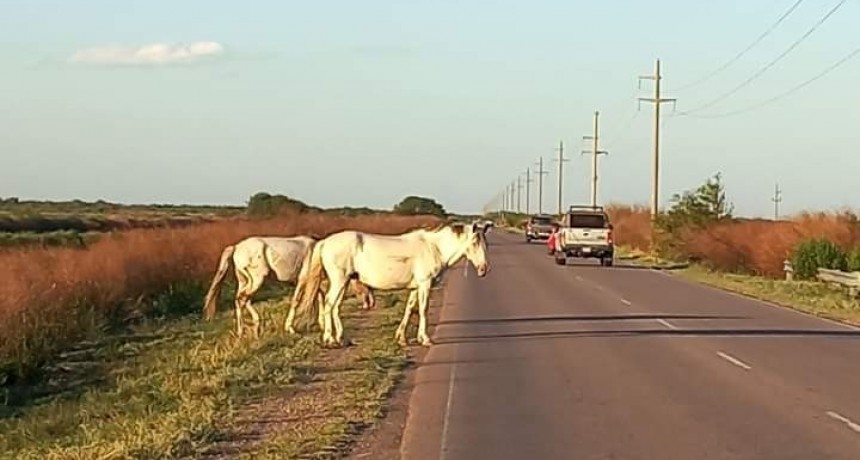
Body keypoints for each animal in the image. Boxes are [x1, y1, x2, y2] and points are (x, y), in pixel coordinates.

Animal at [205, 237, 376, 338]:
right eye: (364, 284)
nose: (370, 304)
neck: (318, 252)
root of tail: (236, 247)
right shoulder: (302, 280)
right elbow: (297, 301)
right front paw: (291, 328)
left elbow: (318, 298)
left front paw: (320, 324)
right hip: (256, 280)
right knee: (241, 299)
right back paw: (244, 330)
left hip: (245, 281)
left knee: (242, 300)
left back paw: (252, 328)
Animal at [290, 225, 488, 346]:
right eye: (474, 242)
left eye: (484, 242)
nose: (483, 269)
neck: (433, 248)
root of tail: (324, 242)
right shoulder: (425, 284)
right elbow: (423, 309)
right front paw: (424, 339)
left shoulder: (416, 287)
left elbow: (410, 308)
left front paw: (401, 338)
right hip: (339, 280)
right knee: (329, 305)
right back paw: (330, 339)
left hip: (344, 282)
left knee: (335, 307)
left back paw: (341, 338)